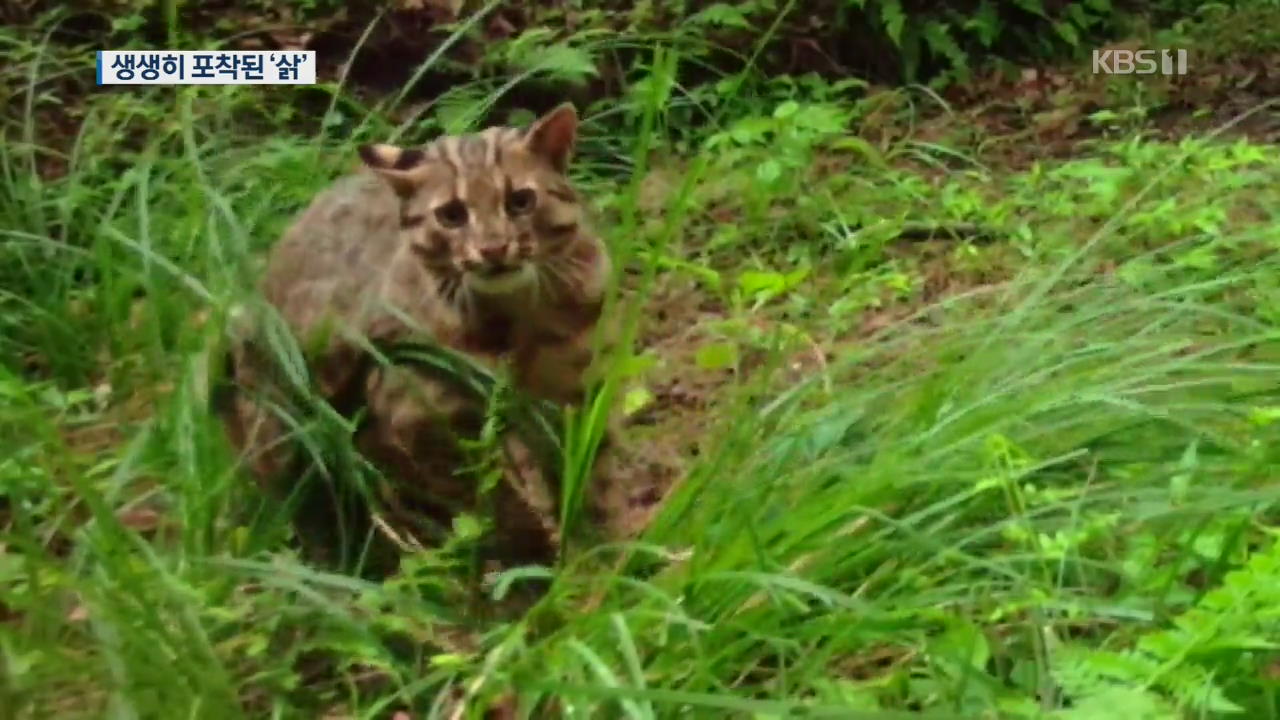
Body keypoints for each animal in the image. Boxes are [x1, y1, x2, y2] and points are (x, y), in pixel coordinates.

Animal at [218, 102, 614, 566]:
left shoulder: (577, 387)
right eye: (452, 215)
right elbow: (485, 490)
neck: (521, 314)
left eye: (520, 200)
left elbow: (584, 466)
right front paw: (535, 548)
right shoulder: (420, 410)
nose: (493, 249)